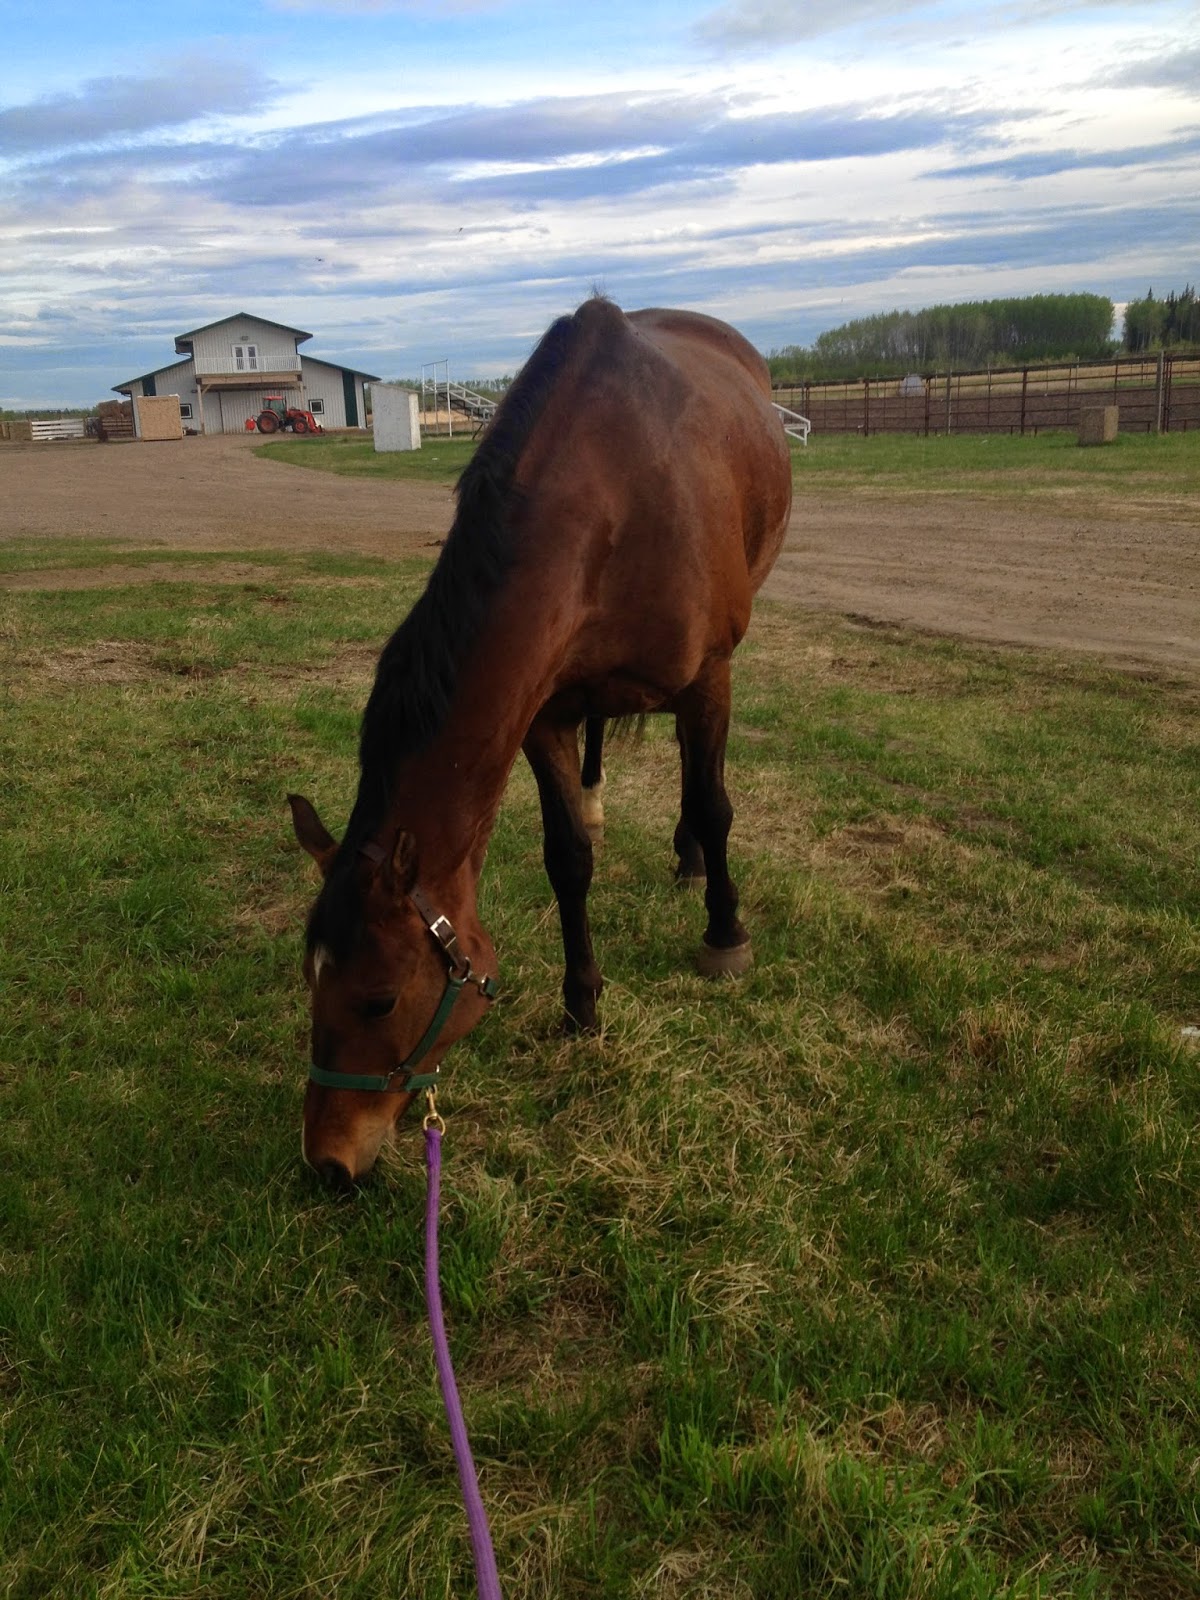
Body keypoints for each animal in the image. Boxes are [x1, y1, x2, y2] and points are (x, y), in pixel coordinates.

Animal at [288, 297, 793, 1187]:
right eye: (309, 982)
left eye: (379, 998)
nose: (329, 1162)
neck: (614, 494)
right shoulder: (545, 711)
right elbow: (568, 860)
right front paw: (581, 999)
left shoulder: (711, 678)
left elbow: (715, 803)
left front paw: (725, 936)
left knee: (697, 789)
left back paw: (693, 860)